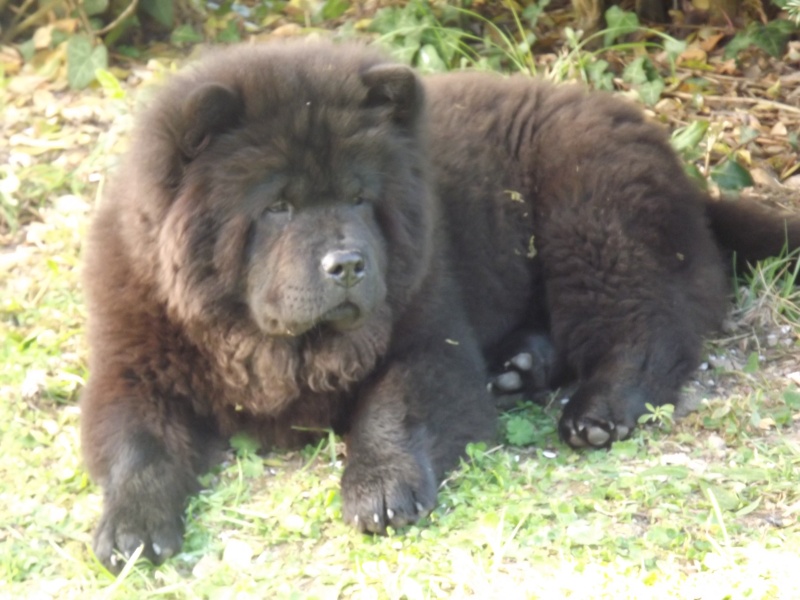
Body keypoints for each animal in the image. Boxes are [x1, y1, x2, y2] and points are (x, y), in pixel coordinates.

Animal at [83, 41, 800, 568]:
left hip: (590, 217)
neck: (272, 344)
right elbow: (138, 446)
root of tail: (678, 168)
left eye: (359, 198)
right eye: (277, 206)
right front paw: (132, 528)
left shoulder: (427, 338)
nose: (349, 264)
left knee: (650, 325)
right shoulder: (131, 367)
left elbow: (393, 410)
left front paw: (379, 490)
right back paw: (518, 368)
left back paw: (599, 410)